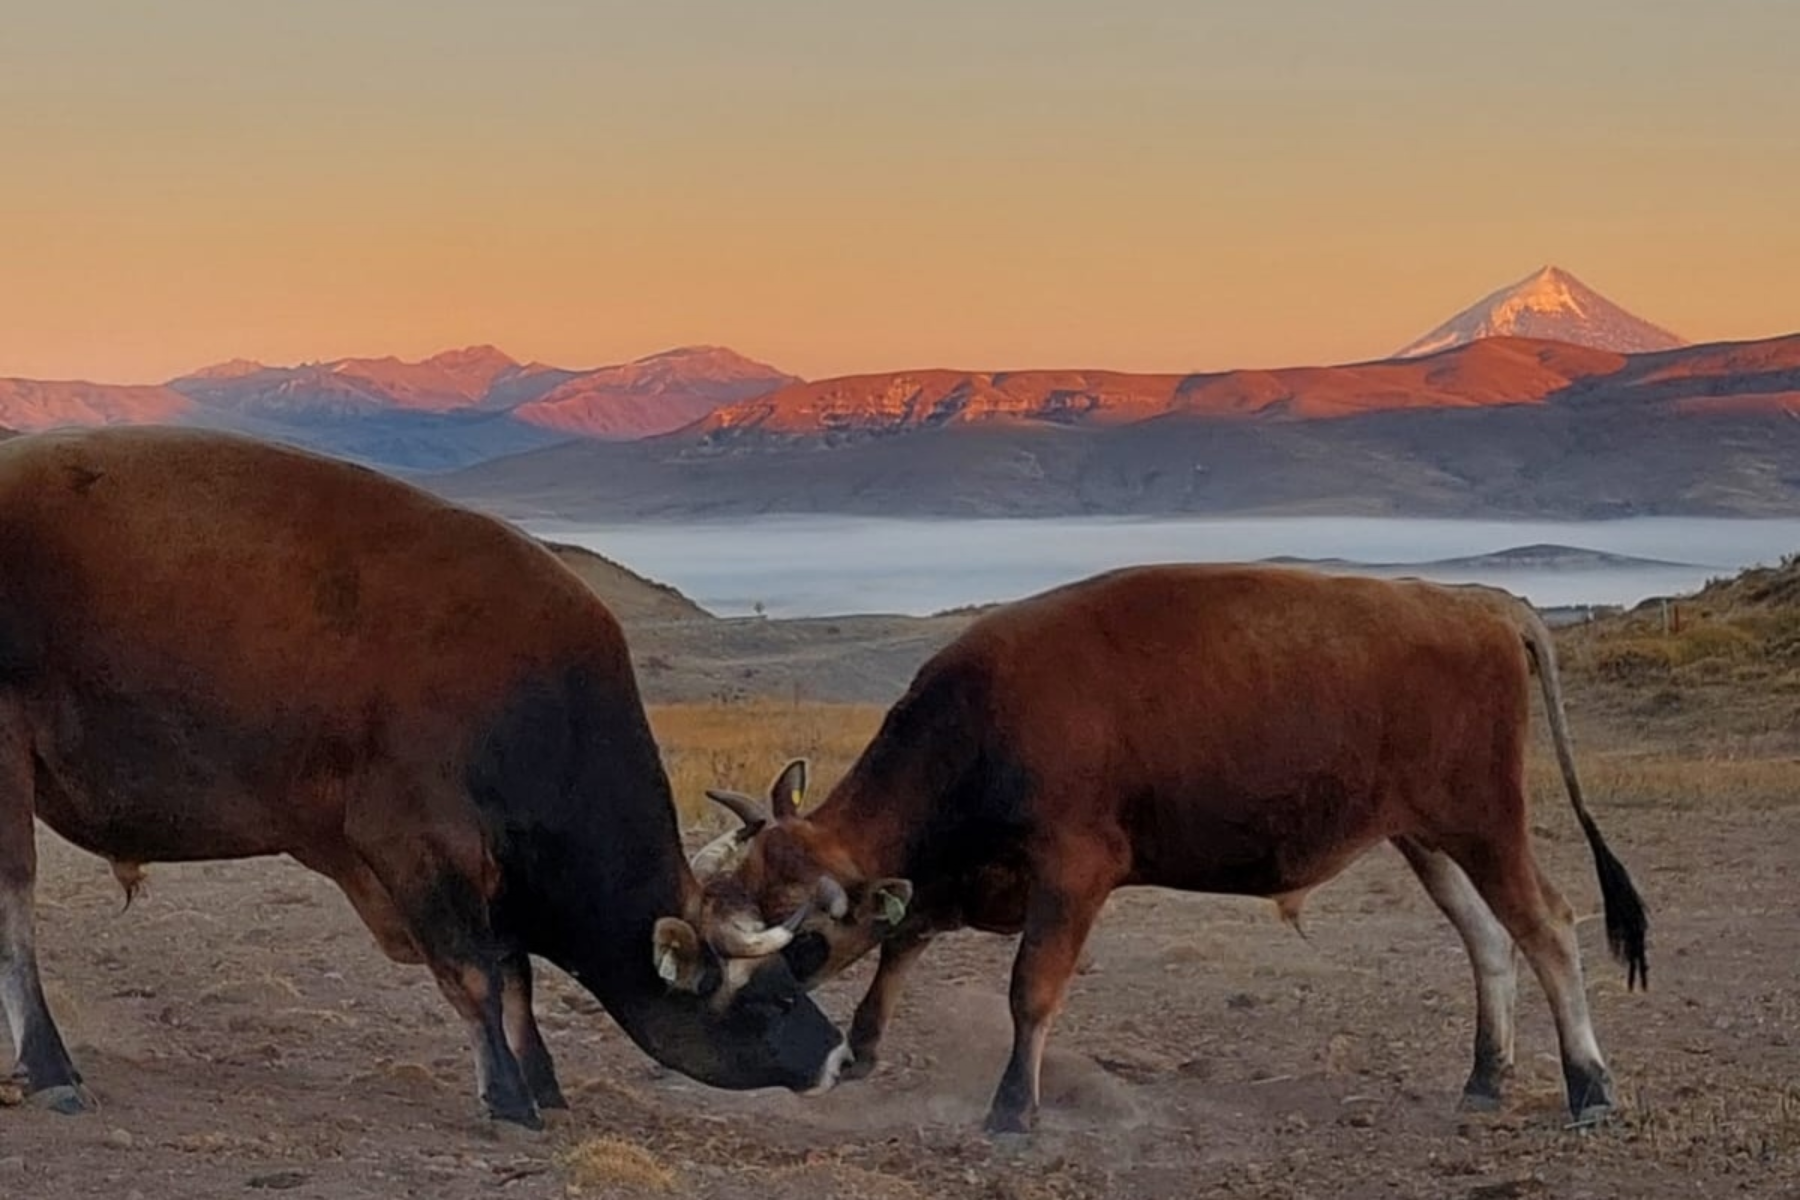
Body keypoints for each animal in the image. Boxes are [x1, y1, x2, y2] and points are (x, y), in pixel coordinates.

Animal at [0, 426, 846, 1129]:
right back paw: (50, 1069)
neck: (540, 700)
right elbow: (475, 975)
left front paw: (542, 1083)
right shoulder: (418, 847)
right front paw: (508, 1098)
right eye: (772, 999)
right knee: (16, 911)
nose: (838, 1057)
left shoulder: (485, 878)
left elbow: (514, 977)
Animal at [687, 564, 1648, 1137]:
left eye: (803, 939)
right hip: (1427, 839)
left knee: (1549, 925)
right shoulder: (962, 878)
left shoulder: (1072, 877)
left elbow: (1029, 990)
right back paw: (1486, 1077)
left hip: (1486, 826)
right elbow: (902, 942)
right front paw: (865, 1050)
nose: (728, 1008)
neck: (983, 721)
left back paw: (1590, 1089)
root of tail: (1480, 603)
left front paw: (1012, 1110)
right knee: (1489, 940)